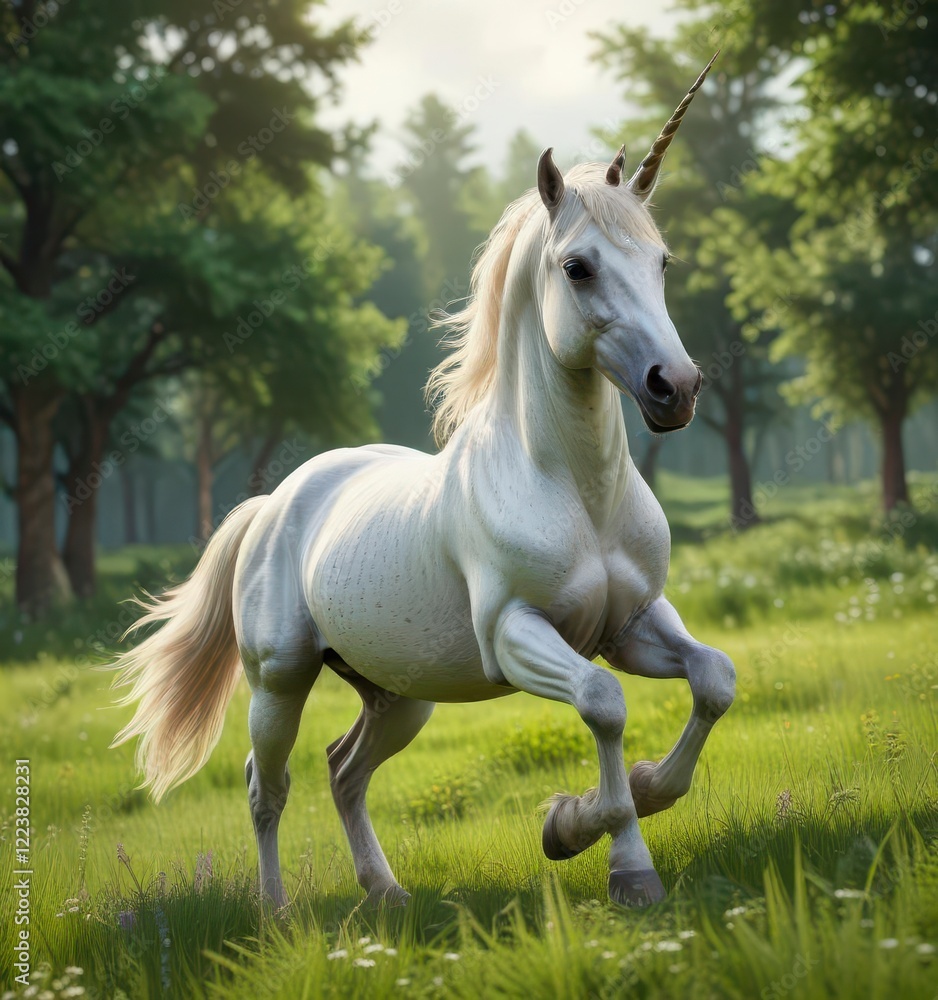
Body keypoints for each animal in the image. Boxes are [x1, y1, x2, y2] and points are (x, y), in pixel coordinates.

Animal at [110, 54, 734, 910]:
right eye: (577, 267)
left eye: (661, 262)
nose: (676, 387)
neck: (575, 493)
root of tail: (274, 504)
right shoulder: (517, 635)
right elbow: (603, 704)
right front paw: (614, 854)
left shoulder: (631, 624)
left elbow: (714, 680)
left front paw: (605, 807)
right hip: (279, 682)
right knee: (265, 785)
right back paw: (277, 914)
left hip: (400, 694)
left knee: (343, 770)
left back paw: (387, 895)